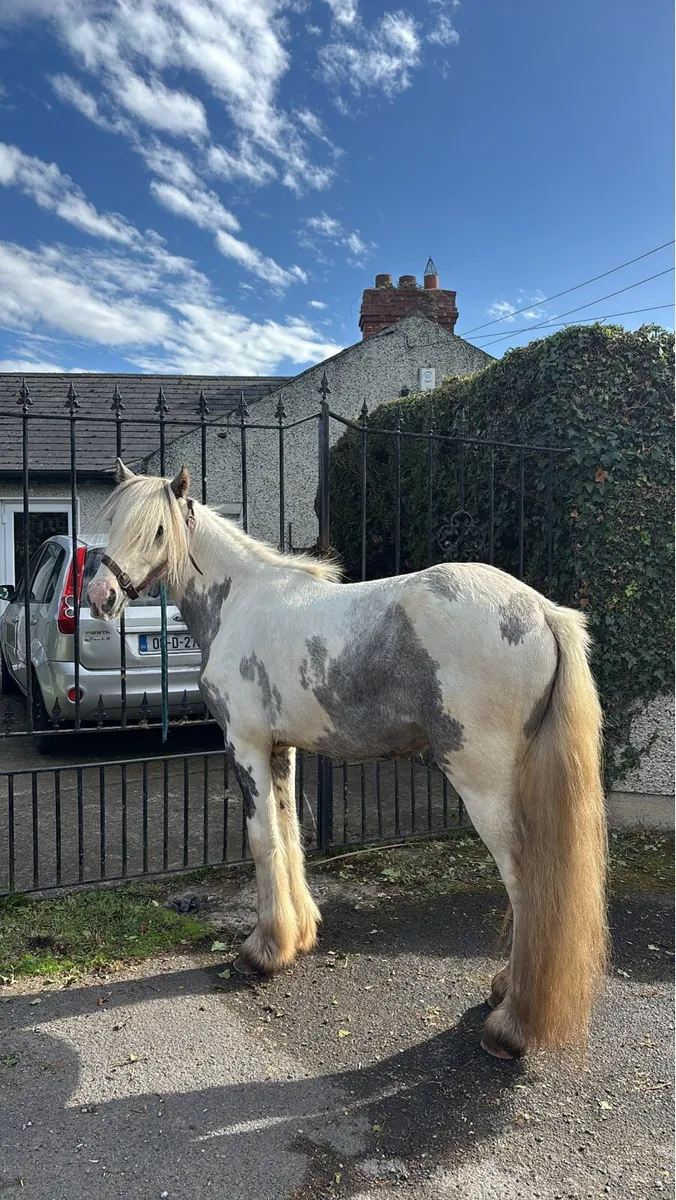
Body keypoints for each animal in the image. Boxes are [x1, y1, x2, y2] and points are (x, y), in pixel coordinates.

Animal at [87, 460, 608, 1061]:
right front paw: (298, 936)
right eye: (113, 521)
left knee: (525, 883)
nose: (100, 595)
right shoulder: (280, 750)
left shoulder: (245, 745)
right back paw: (504, 989)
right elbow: (289, 835)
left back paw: (511, 1025)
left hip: (483, 785)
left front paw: (261, 951)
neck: (239, 601)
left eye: (157, 530)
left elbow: (262, 841)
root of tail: (543, 611)